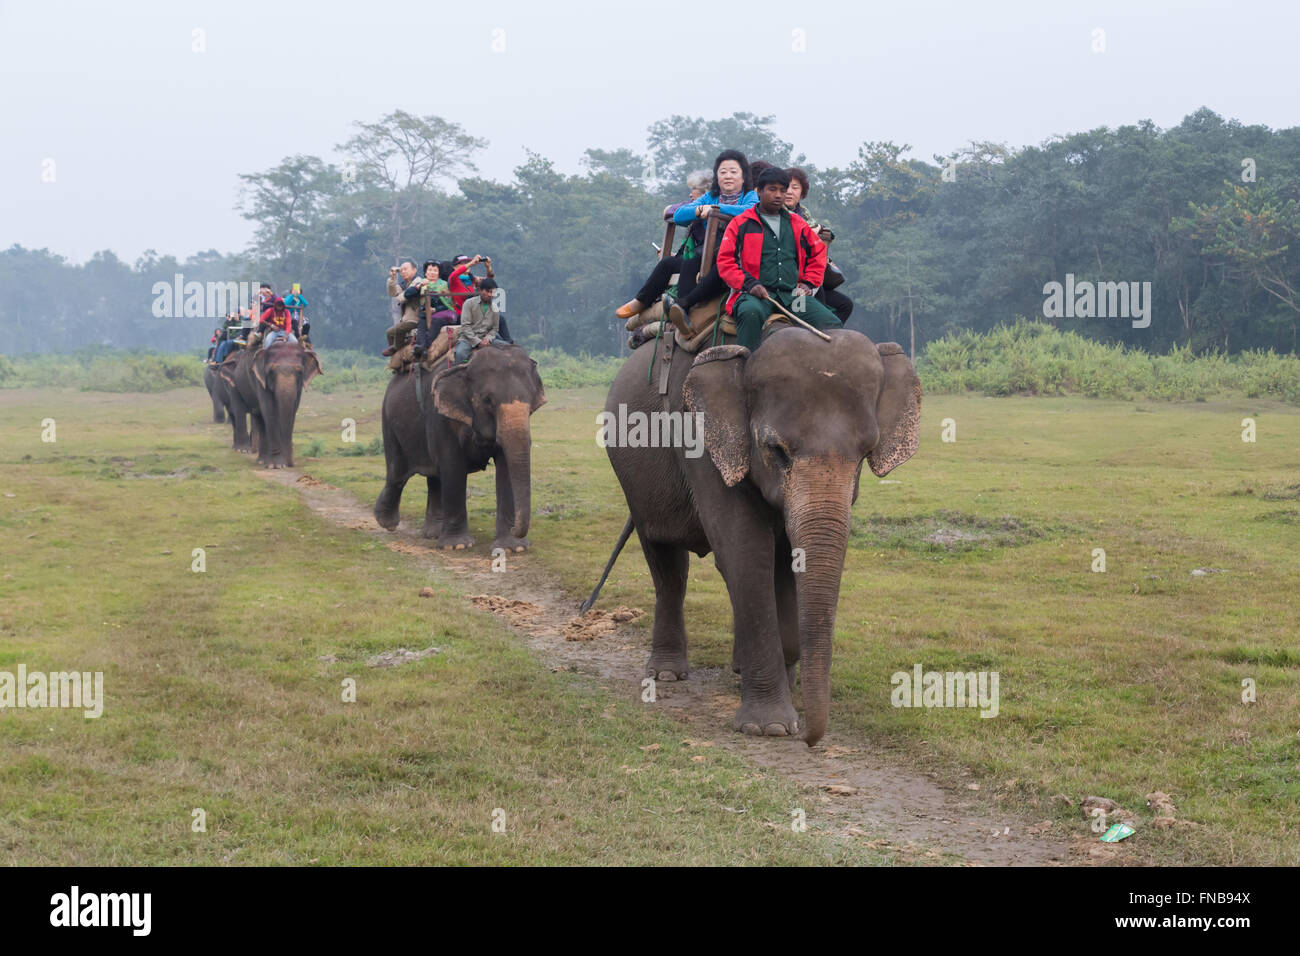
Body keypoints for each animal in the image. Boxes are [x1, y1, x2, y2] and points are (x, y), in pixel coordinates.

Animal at [373, 344, 546, 551]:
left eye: (530, 402)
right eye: (488, 400)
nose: (516, 530)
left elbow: (505, 468)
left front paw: (512, 547)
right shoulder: (440, 415)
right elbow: (452, 465)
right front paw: (458, 545)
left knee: (434, 477)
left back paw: (432, 534)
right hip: (388, 420)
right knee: (397, 473)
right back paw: (386, 523)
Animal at [604, 327, 920, 747]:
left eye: (865, 453)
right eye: (777, 450)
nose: (810, 739)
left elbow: (784, 559)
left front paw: (787, 676)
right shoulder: (702, 442)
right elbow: (746, 550)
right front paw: (770, 726)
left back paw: (739, 668)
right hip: (634, 479)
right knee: (667, 562)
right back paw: (667, 674)